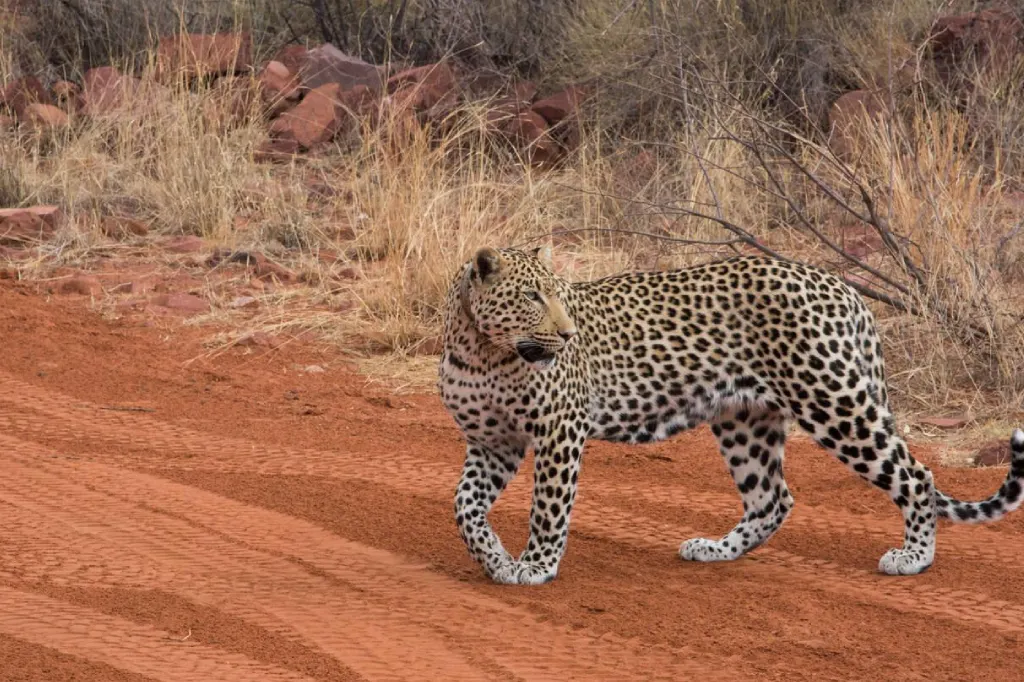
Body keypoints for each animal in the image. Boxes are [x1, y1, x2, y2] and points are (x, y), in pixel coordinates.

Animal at [437, 245, 1024, 585]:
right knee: (773, 497)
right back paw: (716, 550)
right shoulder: (493, 443)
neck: (481, 349)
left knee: (916, 474)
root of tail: (844, 288)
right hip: (745, 418)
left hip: (832, 399)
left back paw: (914, 558)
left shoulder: (559, 431)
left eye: (560, 296)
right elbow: (464, 505)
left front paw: (535, 566)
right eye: (532, 297)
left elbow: (548, 508)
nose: (568, 334)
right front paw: (494, 560)